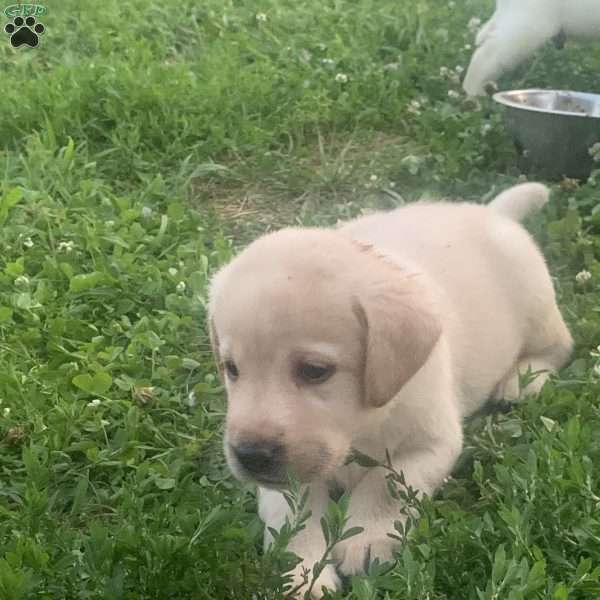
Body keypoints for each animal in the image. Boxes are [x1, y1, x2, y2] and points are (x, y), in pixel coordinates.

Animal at [209, 183, 576, 596]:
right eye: (232, 369)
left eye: (315, 371)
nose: (250, 455)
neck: (360, 428)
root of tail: (493, 213)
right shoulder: (284, 479)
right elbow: (292, 512)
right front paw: (300, 572)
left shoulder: (432, 443)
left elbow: (388, 482)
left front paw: (366, 538)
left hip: (537, 305)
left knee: (561, 345)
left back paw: (522, 377)